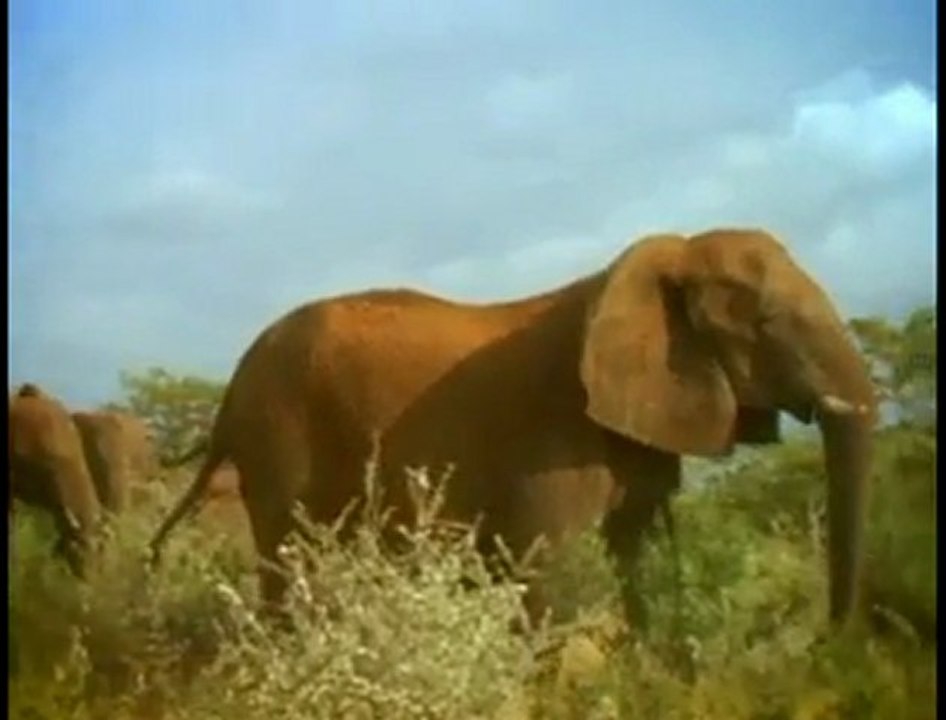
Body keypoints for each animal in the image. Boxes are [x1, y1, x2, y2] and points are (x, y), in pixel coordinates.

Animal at [149, 228, 876, 629]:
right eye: (769, 323)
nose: (828, 639)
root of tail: (231, 388)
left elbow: (630, 557)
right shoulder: (555, 433)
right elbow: (543, 567)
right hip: (278, 435)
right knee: (289, 559)